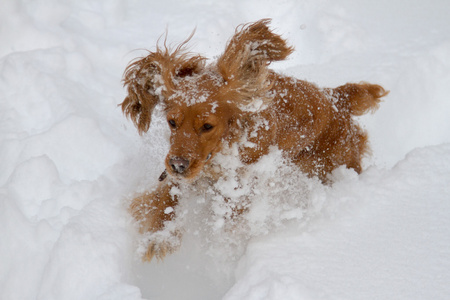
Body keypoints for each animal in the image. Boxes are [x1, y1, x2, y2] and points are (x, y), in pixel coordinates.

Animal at [122, 19, 386, 262]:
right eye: (172, 122)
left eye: (207, 126)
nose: (178, 165)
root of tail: (337, 98)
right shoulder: (187, 171)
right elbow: (165, 198)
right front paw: (159, 236)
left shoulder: (241, 185)